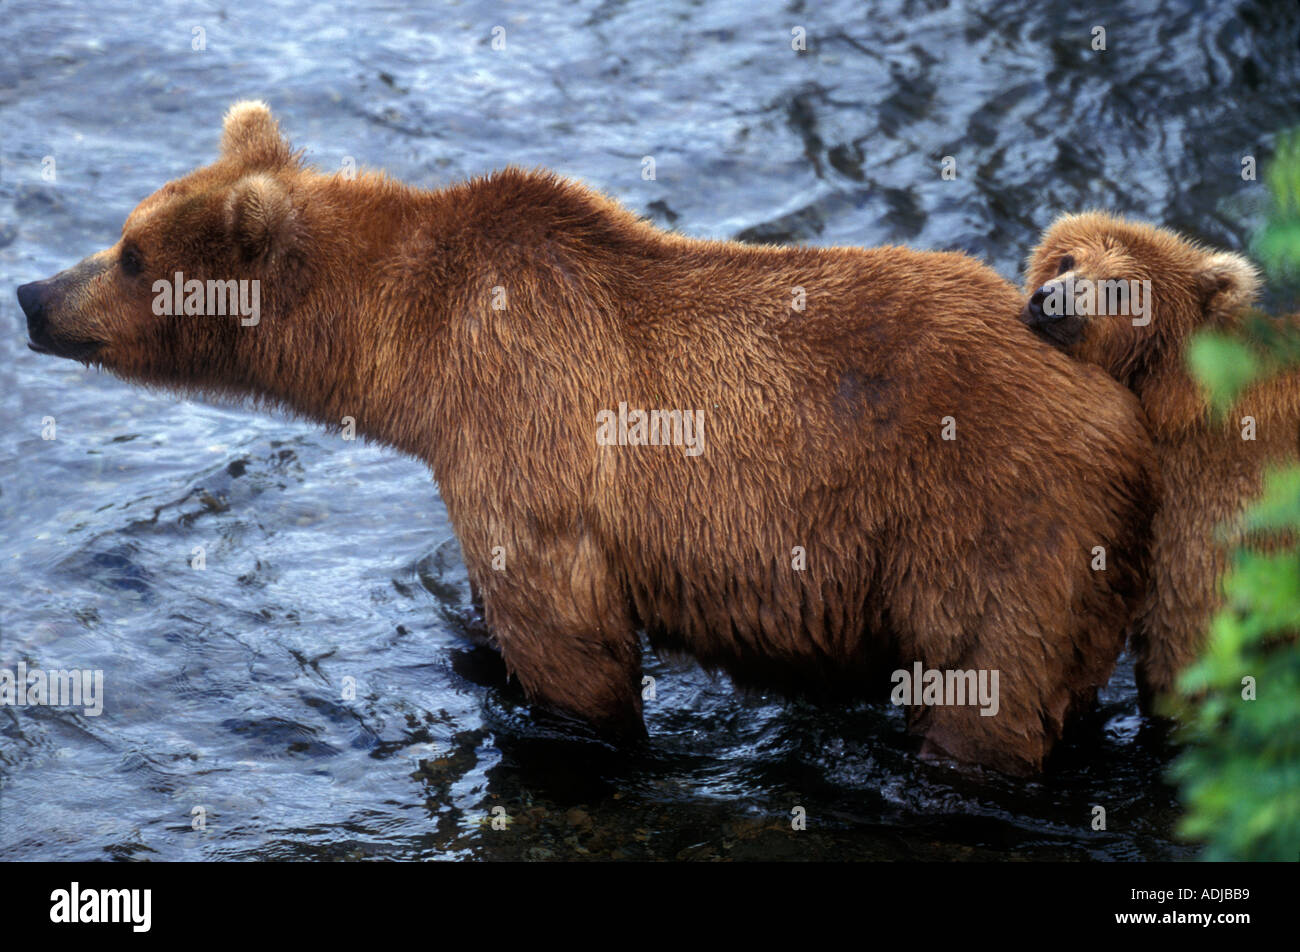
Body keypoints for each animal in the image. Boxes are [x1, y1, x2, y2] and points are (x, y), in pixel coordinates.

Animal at [17, 101, 1160, 774]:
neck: (410, 358)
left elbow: (570, 643)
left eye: (128, 250)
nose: (31, 293)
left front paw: (567, 733)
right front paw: (473, 661)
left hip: (990, 517)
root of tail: (1117, 407)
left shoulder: (523, 431)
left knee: (983, 689)